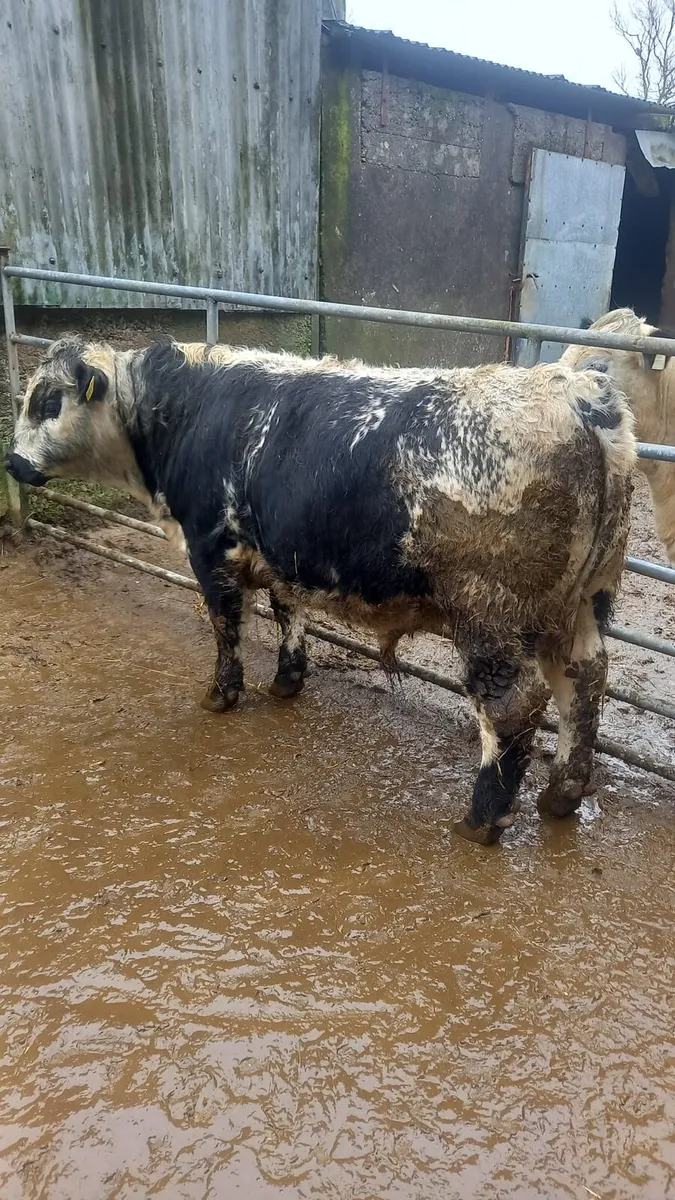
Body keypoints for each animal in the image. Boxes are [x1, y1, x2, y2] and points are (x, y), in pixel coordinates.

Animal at [4, 337, 635, 844]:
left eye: (47, 400)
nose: (12, 461)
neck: (183, 412)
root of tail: (580, 395)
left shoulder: (211, 550)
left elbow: (226, 626)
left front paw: (222, 694)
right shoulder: (284, 553)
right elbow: (289, 612)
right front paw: (287, 680)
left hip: (491, 615)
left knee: (514, 707)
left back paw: (483, 819)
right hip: (581, 607)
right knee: (585, 681)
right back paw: (562, 795)